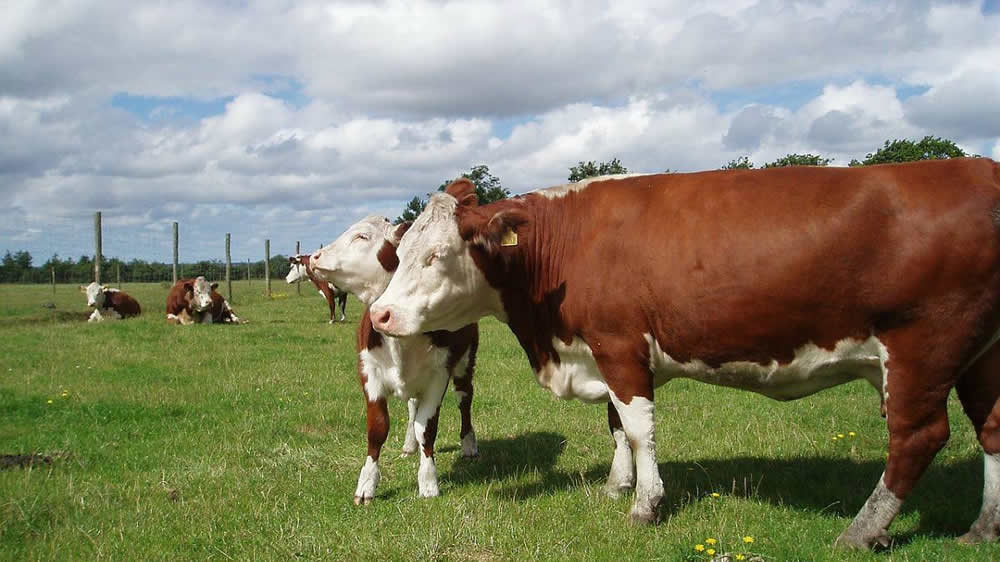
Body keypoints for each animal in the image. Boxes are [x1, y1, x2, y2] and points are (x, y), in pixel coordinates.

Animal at [308, 214, 480, 504]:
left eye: (362, 236)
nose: (314, 256)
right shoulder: (369, 373)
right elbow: (377, 429)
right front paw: (366, 484)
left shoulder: (438, 375)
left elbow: (427, 428)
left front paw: (428, 481)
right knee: (412, 407)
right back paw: (409, 446)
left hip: (465, 361)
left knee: (464, 399)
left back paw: (468, 444)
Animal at [370, 158, 1000, 548]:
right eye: (399, 253)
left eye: (436, 256)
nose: (379, 315)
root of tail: (978, 168)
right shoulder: (607, 353)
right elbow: (616, 424)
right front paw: (617, 484)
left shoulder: (620, 345)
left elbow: (638, 427)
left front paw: (645, 504)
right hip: (981, 356)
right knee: (990, 428)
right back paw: (983, 527)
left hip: (923, 346)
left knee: (919, 437)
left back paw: (863, 530)